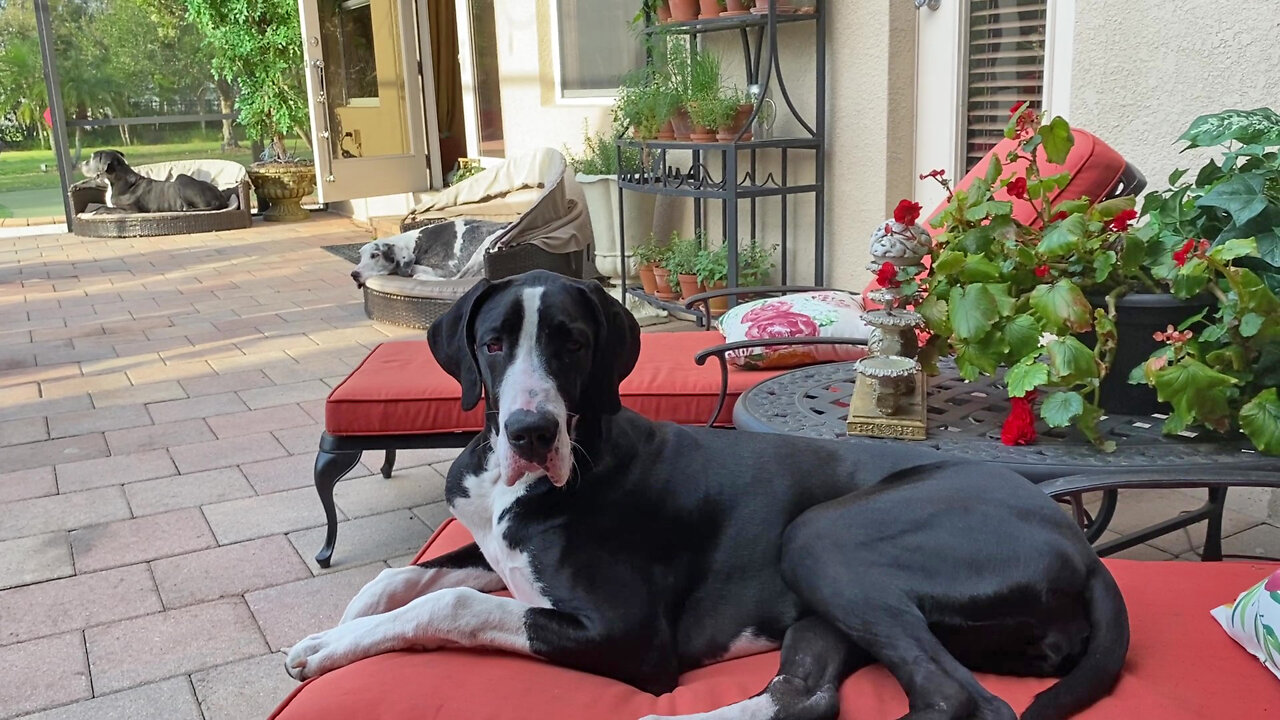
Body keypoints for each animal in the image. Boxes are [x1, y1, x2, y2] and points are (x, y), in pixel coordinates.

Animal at [353, 217, 512, 286]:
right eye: (360, 255)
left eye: (375, 255)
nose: (354, 274)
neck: (413, 243)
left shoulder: (447, 269)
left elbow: (413, 267)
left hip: (484, 247)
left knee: (457, 278)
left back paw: (421, 277)